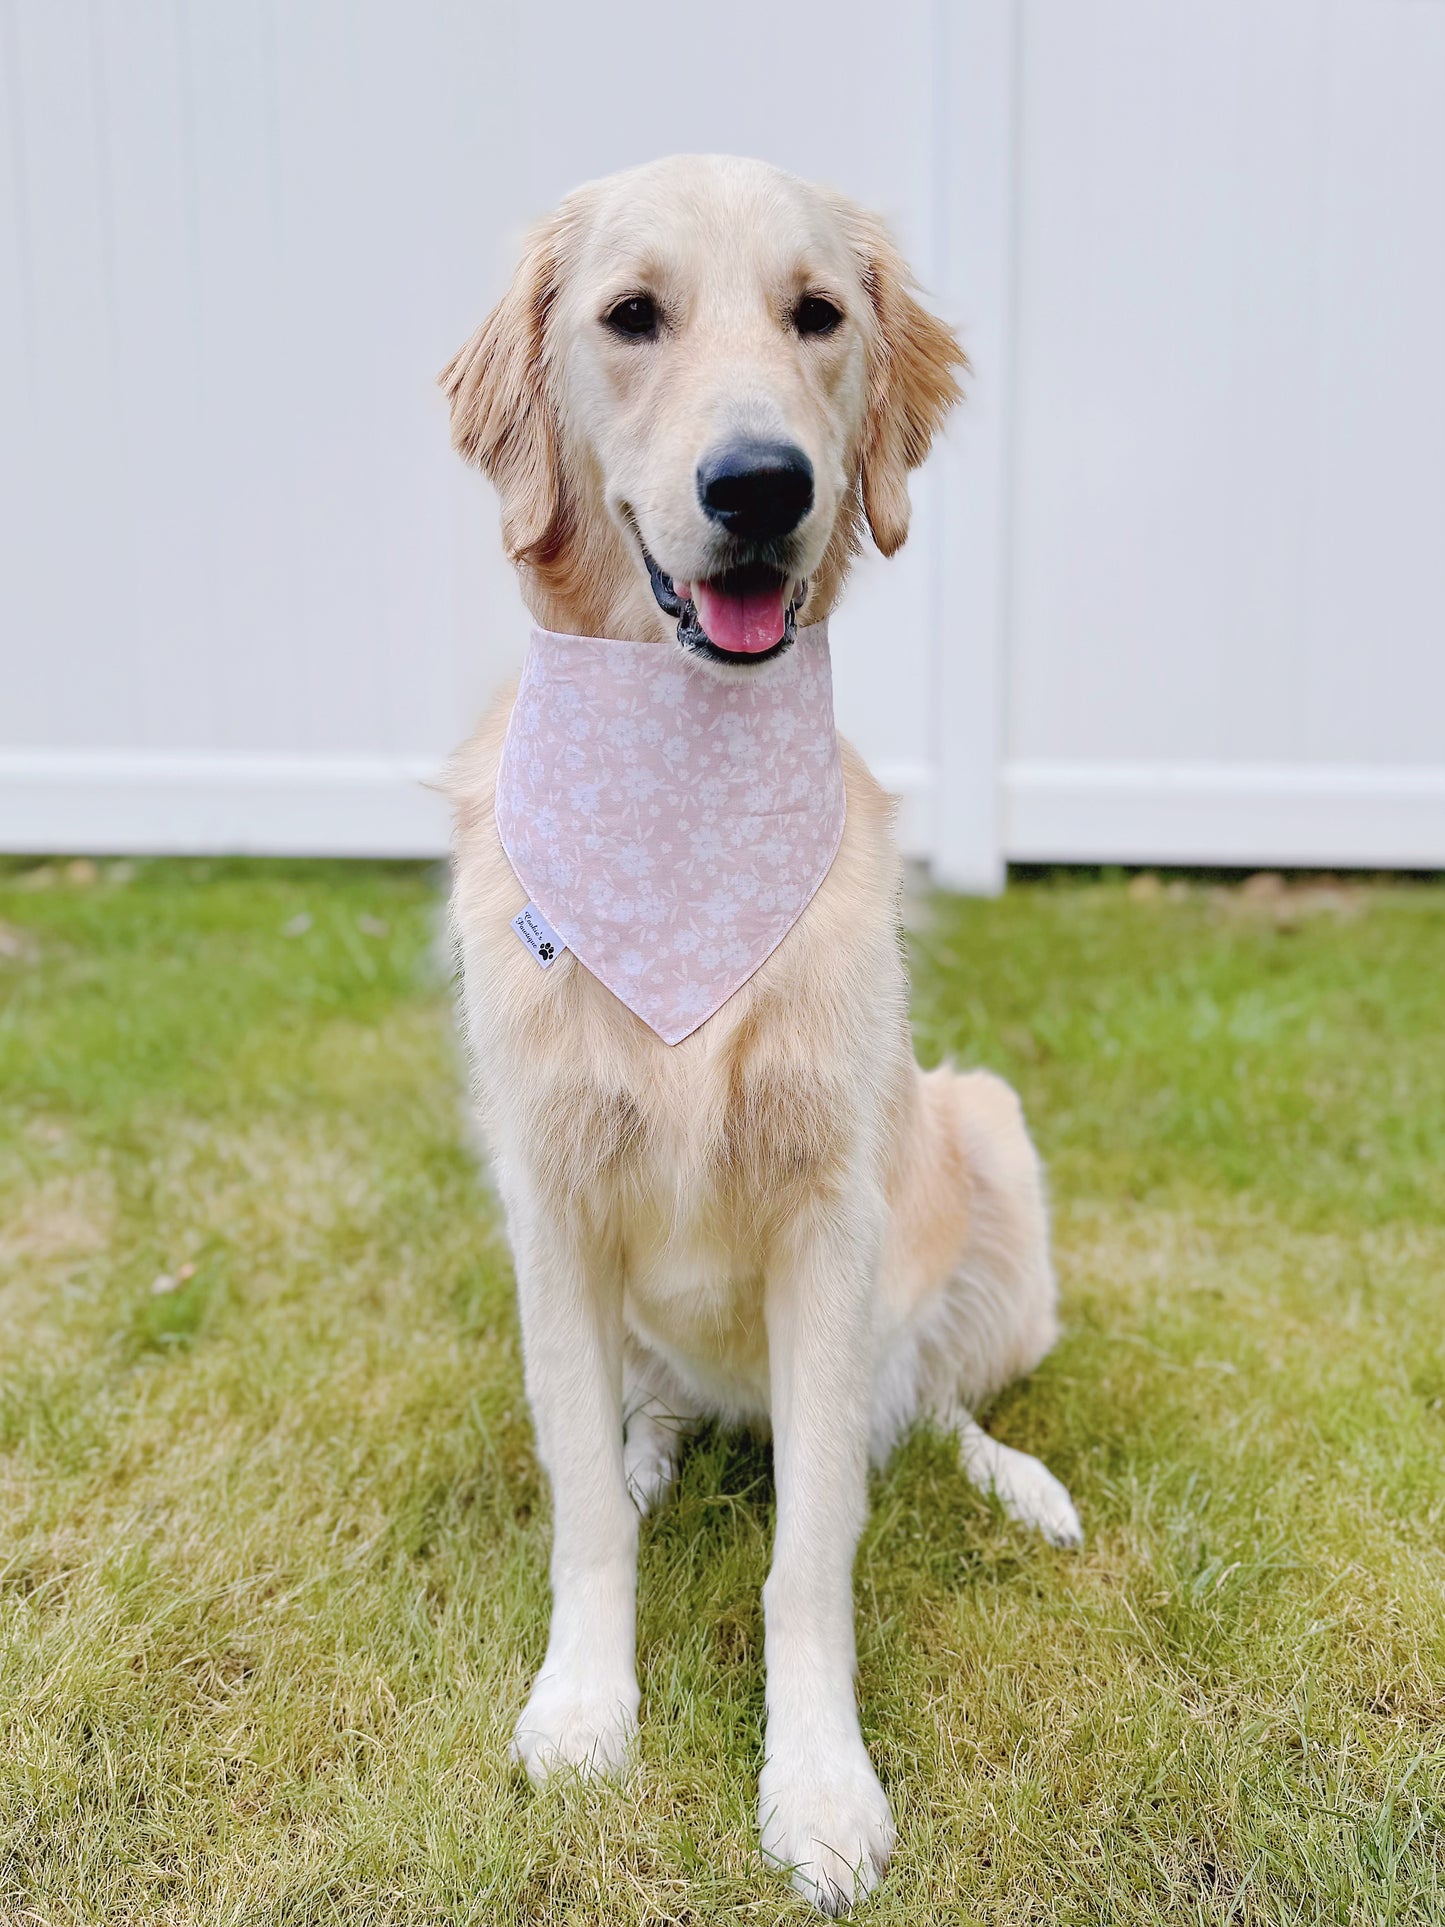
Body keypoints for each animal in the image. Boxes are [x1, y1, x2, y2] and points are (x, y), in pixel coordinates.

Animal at [446, 154, 1078, 1911]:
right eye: (629, 315)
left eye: (817, 314)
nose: (758, 486)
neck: (681, 792)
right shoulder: (549, 1197)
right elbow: (582, 1506)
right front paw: (583, 1706)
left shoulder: (829, 1214)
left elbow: (812, 1552)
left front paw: (819, 1782)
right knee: (650, 1415)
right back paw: (654, 1443)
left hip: (987, 1144)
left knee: (923, 1404)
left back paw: (1016, 1479)